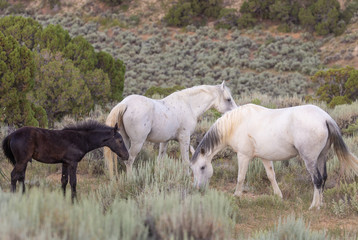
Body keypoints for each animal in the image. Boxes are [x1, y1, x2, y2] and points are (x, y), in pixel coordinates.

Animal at [104, 82, 238, 178]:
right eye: (228, 99)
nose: (235, 112)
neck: (188, 105)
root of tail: (125, 104)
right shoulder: (184, 138)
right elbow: (186, 160)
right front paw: (186, 177)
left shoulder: (165, 141)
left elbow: (160, 160)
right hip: (137, 143)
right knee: (129, 161)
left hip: (125, 141)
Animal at [190, 104, 358, 209]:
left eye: (202, 167)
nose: (198, 188)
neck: (236, 124)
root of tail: (325, 118)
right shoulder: (265, 157)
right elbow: (271, 176)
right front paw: (279, 196)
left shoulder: (243, 156)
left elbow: (240, 177)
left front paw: (236, 196)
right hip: (322, 157)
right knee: (323, 178)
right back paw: (321, 204)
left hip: (310, 159)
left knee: (316, 179)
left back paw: (313, 206)